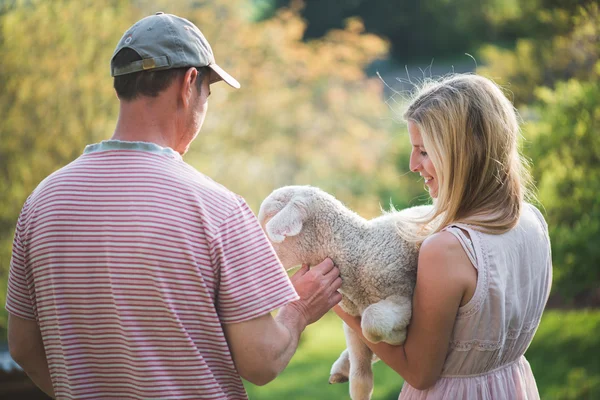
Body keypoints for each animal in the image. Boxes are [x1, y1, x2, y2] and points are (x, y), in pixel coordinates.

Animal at [258, 185, 432, 400]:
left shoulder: (403, 295)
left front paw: (398, 337)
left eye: (268, 220)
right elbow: (360, 380)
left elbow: (372, 323)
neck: (357, 252)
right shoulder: (352, 319)